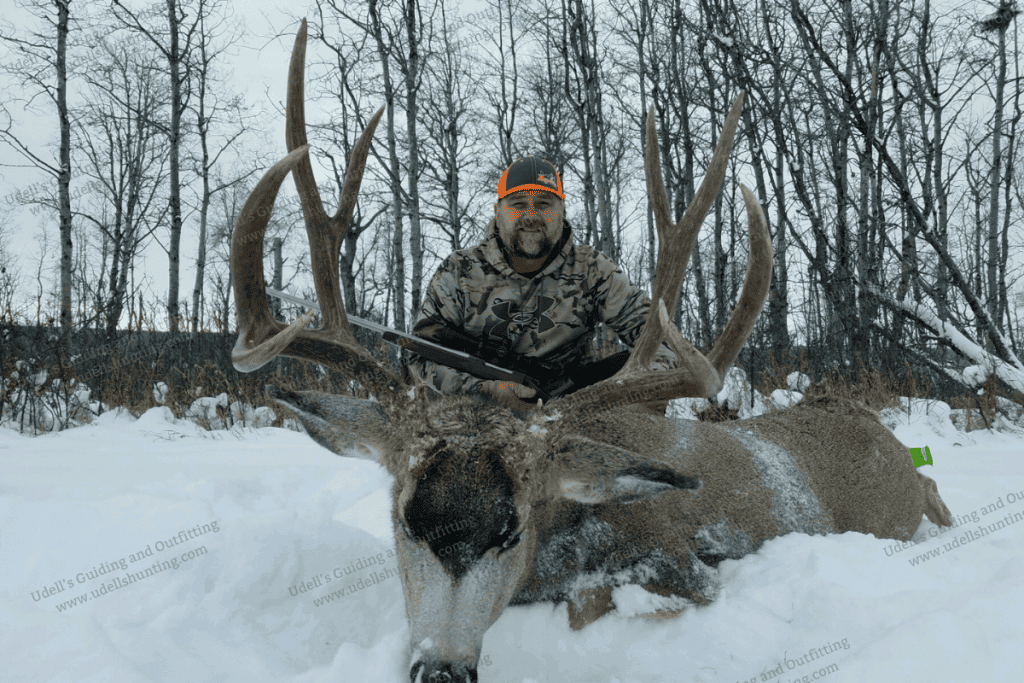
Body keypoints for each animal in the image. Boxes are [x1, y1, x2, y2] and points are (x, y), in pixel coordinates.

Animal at [230, 20, 954, 683]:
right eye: (405, 520)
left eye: (512, 528)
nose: (441, 670)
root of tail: (872, 424)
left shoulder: (679, 563)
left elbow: (594, 603)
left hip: (894, 505)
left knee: (932, 487)